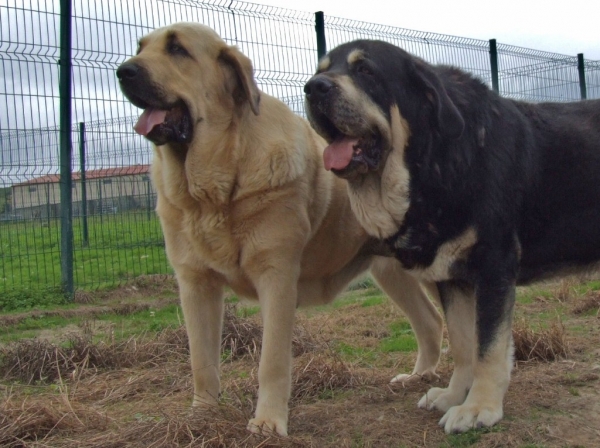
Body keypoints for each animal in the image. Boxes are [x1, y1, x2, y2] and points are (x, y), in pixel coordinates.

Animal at [116, 24, 446, 438]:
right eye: (140, 47)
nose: (123, 71)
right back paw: (421, 376)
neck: (215, 188)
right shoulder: (195, 284)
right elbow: (201, 360)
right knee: (430, 322)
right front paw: (202, 415)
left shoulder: (276, 277)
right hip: (392, 273)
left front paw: (269, 422)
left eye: (178, 49)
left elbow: (271, 361)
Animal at [304, 40, 600, 432]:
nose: (314, 88)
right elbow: (463, 345)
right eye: (320, 70)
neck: (435, 163)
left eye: (366, 70)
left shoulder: (493, 267)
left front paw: (479, 408)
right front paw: (453, 395)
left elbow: (488, 347)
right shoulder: (451, 278)